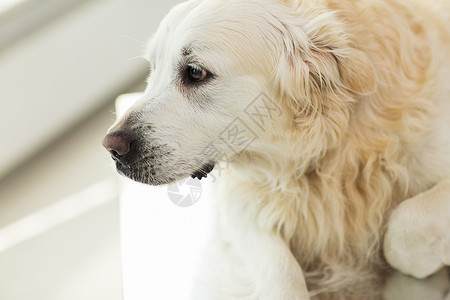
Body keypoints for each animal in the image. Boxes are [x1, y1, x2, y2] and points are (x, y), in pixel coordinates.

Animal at [102, 0, 450, 298]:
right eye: (153, 68)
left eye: (195, 72)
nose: (111, 147)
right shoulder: (238, 199)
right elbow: (279, 271)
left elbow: (402, 228)